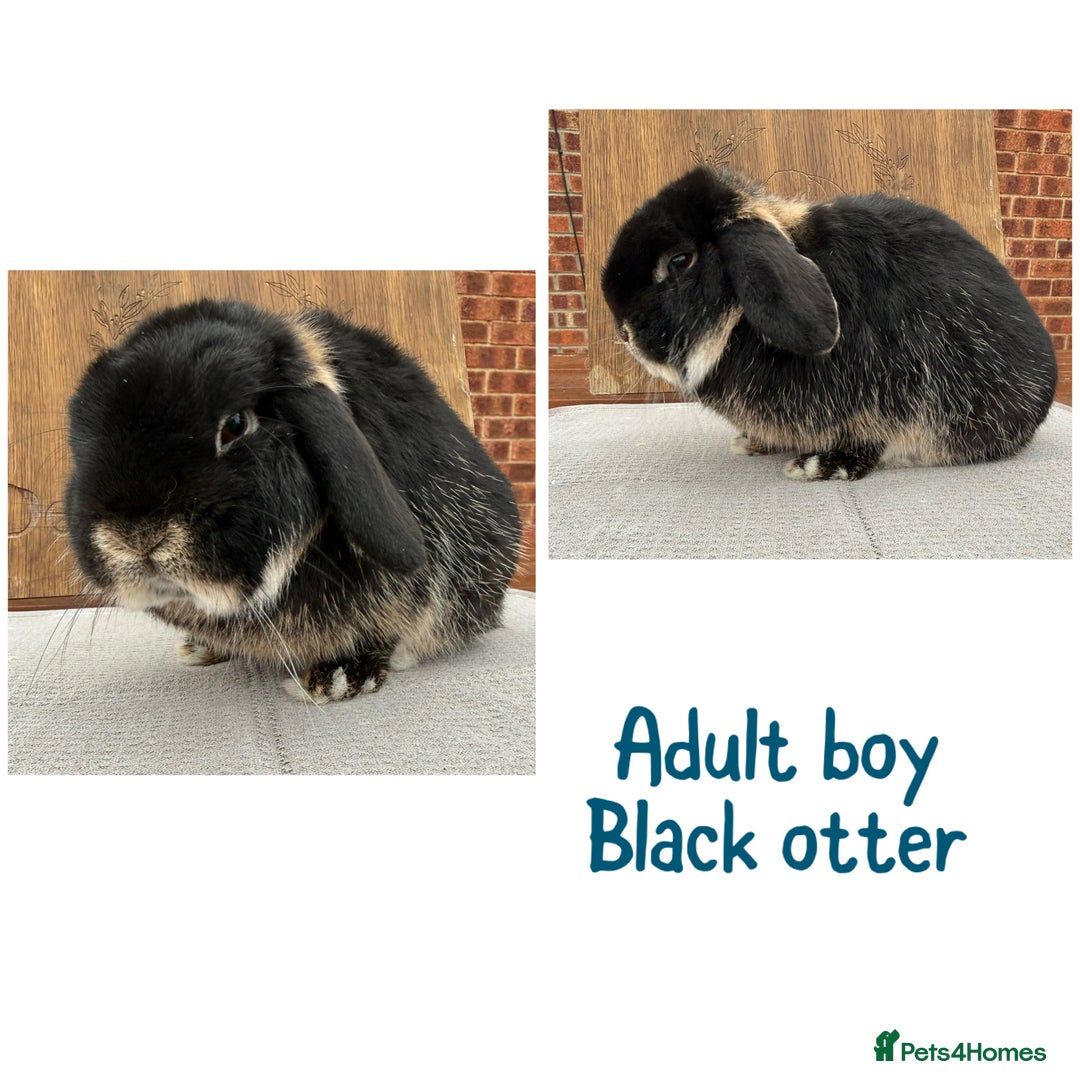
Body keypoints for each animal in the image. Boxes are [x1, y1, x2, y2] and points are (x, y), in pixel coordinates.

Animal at [601, 166, 1058, 480]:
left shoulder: (893, 398)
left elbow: (871, 442)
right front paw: (751, 443)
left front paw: (816, 466)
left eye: (680, 261)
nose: (624, 334)